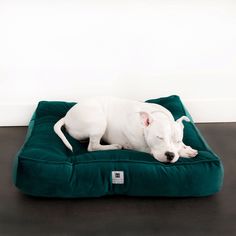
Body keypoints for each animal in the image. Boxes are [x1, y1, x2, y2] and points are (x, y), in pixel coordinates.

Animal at [53, 97, 197, 163]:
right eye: (159, 138)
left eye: (177, 140)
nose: (170, 155)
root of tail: (66, 116)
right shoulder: (142, 147)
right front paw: (184, 152)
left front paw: (186, 148)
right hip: (98, 120)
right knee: (93, 146)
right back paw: (114, 146)